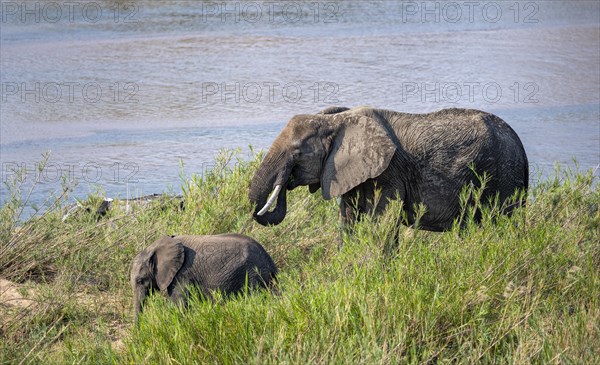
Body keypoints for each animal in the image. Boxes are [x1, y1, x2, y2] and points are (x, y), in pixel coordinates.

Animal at [250, 105, 528, 230]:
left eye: (297, 152)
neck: (337, 121)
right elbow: (347, 222)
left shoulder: (388, 175)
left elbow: (381, 223)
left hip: (503, 177)